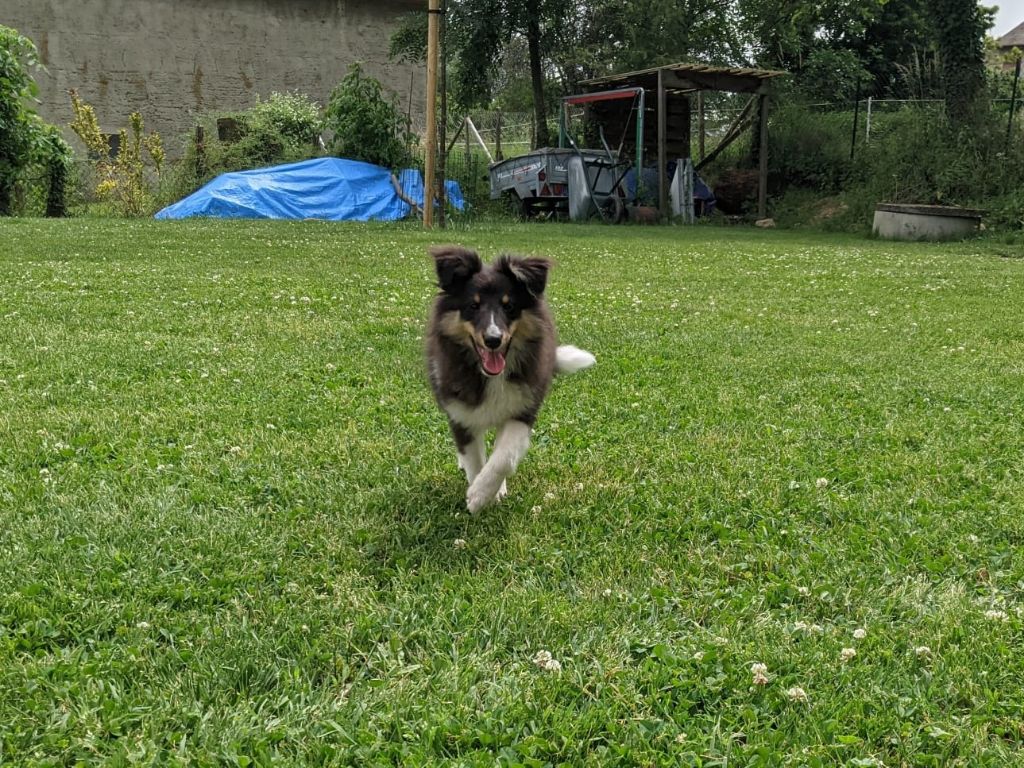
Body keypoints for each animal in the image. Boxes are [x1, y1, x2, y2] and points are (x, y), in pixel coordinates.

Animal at [425, 244, 598, 512]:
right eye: (473, 306)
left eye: (509, 306)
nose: (493, 340)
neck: (490, 377)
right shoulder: (461, 413)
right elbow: (475, 460)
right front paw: (477, 497)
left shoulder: (523, 409)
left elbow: (504, 458)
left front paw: (483, 493)